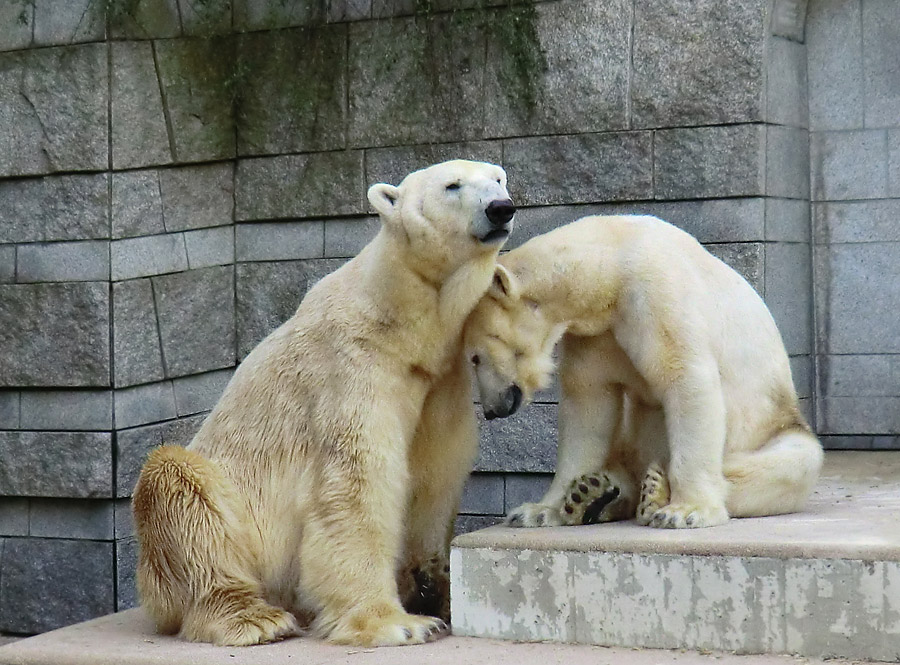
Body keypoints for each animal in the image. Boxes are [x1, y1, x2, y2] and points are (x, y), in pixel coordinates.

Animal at [131, 158, 516, 644]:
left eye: (498, 178)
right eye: (452, 185)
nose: (501, 208)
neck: (403, 322)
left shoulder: (439, 380)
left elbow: (436, 474)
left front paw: (432, 589)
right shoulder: (351, 367)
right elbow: (356, 481)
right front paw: (400, 623)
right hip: (220, 508)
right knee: (180, 490)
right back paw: (255, 618)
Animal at [464, 217, 824, 528]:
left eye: (475, 357)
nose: (492, 409)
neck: (609, 268)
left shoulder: (655, 292)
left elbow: (686, 381)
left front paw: (686, 511)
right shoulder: (594, 337)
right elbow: (588, 407)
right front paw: (538, 511)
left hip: (778, 428)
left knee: (784, 465)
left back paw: (654, 489)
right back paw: (593, 494)